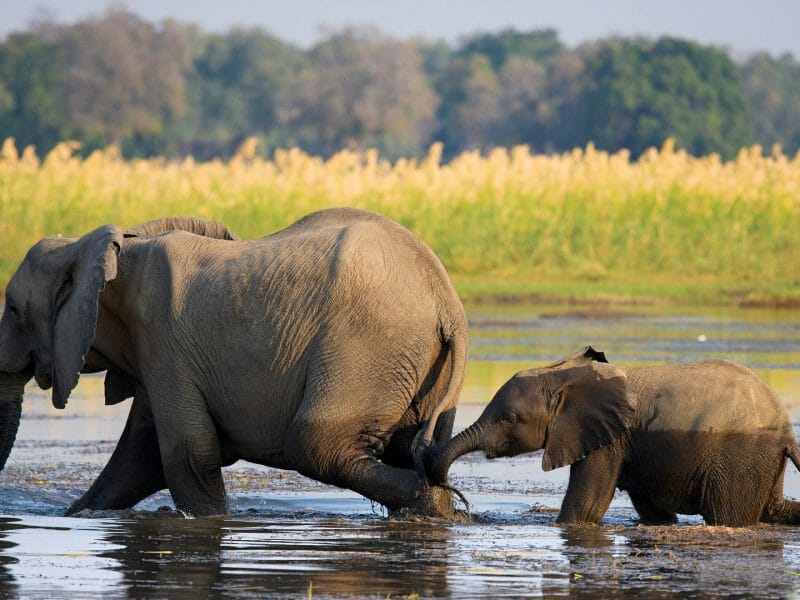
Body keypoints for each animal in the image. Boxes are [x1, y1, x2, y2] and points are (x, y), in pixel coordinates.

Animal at [0, 208, 468, 517]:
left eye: (13, 310)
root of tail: (446, 300)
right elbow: (140, 458)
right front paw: (79, 514)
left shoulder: (163, 341)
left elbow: (188, 455)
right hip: (417, 364)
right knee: (407, 451)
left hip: (367, 348)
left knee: (315, 444)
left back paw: (435, 503)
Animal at [427, 346, 800, 526]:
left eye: (508, 419)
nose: (463, 508)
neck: (564, 376)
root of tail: (786, 430)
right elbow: (655, 513)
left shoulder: (607, 440)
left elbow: (586, 508)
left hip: (740, 456)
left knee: (728, 516)